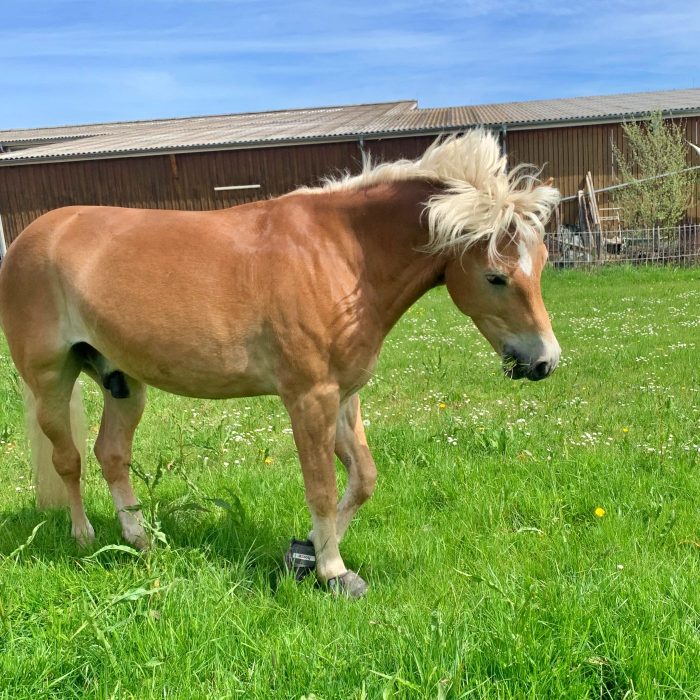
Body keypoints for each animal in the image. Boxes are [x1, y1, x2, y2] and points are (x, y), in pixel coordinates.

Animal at [0, 130, 560, 597]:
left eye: (542, 263)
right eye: (495, 276)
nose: (545, 362)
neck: (341, 254)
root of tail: (34, 236)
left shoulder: (344, 397)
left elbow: (362, 479)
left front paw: (309, 550)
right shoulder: (309, 399)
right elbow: (322, 486)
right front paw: (333, 572)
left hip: (123, 383)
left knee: (111, 455)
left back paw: (139, 539)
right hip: (51, 381)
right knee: (69, 460)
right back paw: (82, 535)